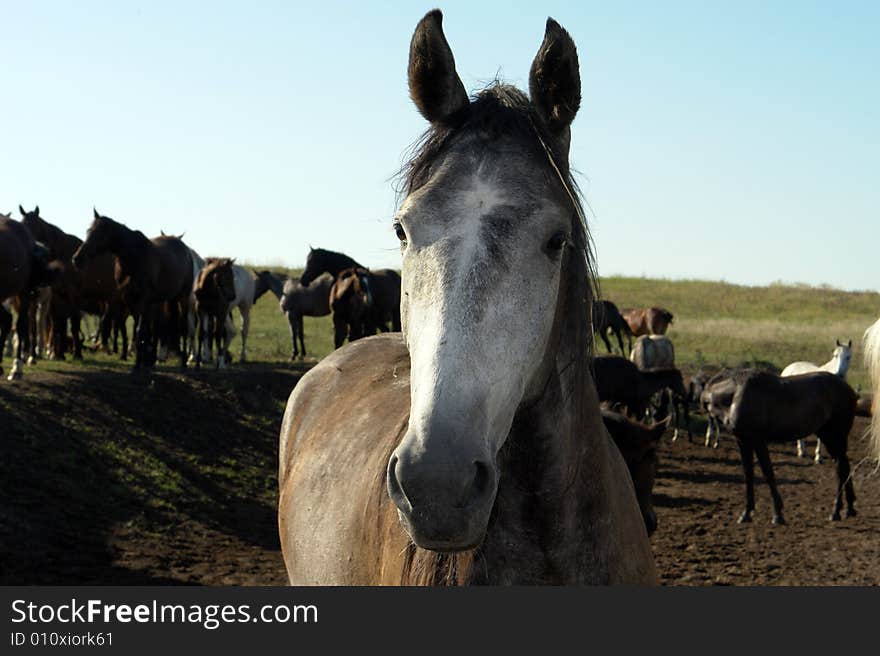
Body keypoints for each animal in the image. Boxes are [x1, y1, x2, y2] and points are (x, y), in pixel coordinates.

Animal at [73, 211, 194, 374]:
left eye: (100, 234)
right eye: (88, 231)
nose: (77, 258)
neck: (134, 259)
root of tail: (185, 248)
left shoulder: (143, 300)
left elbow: (139, 330)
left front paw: (137, 365)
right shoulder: (130, 301)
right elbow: (139, 332)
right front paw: (143, 362)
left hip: (182, 297)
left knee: (183, 327)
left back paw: (183, 363)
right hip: (162, 301)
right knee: (158, 328)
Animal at [704, 372, 856, 524]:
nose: (713, 441)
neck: (736, 394)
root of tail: (848, 389)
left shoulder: (758, 440)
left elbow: (768, 472)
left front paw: (777, 515)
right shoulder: (743, 441)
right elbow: (748, 474)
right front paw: (746, 513)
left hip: (836, 436)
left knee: (841, 469)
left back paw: (835, 512)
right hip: (827, 436)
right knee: (843, 466)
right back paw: (849, 509)